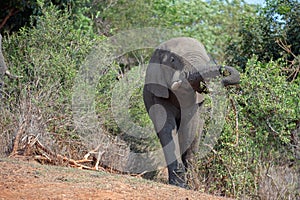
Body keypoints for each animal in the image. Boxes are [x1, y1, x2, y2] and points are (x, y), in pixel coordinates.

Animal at [143, 37, 239, 188]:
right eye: (173, 60)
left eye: (206, 61)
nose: (222, 71)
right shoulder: (157, 92)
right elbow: (166, 128)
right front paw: (179, 184)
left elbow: (189, 128)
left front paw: (185, 184)